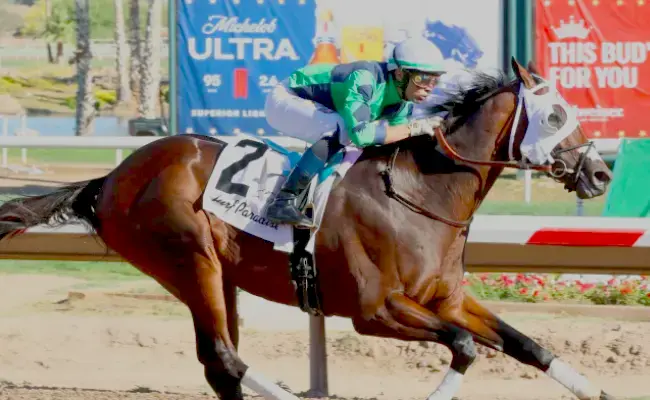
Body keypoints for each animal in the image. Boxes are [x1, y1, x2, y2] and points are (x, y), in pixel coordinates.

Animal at [0, 57, 614, 400]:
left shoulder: (447, 300)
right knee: (226, 358)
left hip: (217, 274)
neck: (421, 193)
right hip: (188, 258)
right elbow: (464, 348)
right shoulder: (375, 310)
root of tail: (111, 177)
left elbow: (527, 345)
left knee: (220, 364)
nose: (601, 172)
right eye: (554, 114)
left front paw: (598, 390)